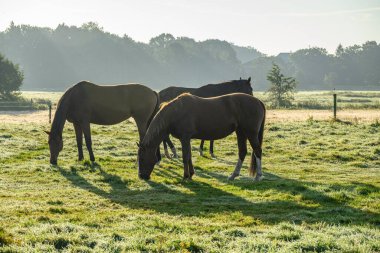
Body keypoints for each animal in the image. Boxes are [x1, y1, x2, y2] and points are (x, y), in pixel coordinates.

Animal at [138, 93, 266, 182]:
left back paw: (258, 176)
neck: (176, 112)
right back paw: (233, 175)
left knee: (257, 151)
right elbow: (189, 156)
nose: (141, 176)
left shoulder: (185, 137)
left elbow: (186, 157)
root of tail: (258, 101)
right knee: (242, 152)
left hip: (250, 133)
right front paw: (191, 174)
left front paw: (185, 176)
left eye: (142, 158)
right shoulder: (187, 139)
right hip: (241, 132)